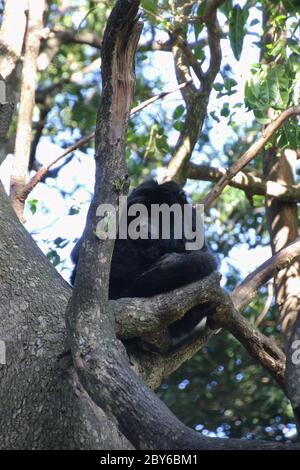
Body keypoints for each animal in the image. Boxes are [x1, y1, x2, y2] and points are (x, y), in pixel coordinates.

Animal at [72, 180, 219, 348]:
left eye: (159, 215)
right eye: (139, 213)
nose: (142, 226)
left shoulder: (192, 219)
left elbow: (204, 257)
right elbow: (78, 253)